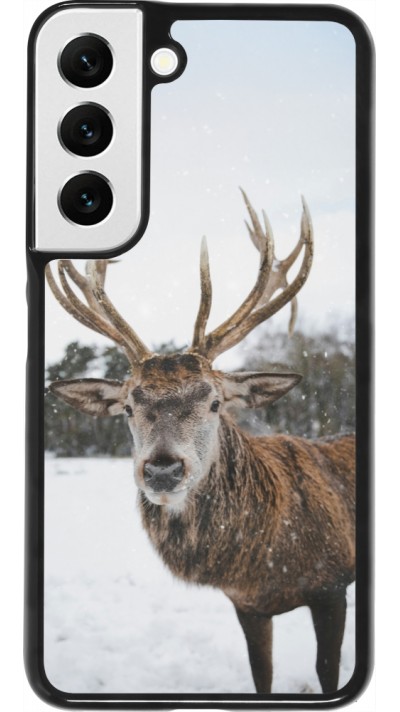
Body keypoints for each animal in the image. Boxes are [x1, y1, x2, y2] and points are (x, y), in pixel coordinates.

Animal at [45, 190, 355, 694]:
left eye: (214, 402)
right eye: (128, 407)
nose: (162, 469)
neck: (265, 563)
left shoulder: (332, 584)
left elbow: (328, 671)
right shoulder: (246, 604)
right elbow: (261, 676)